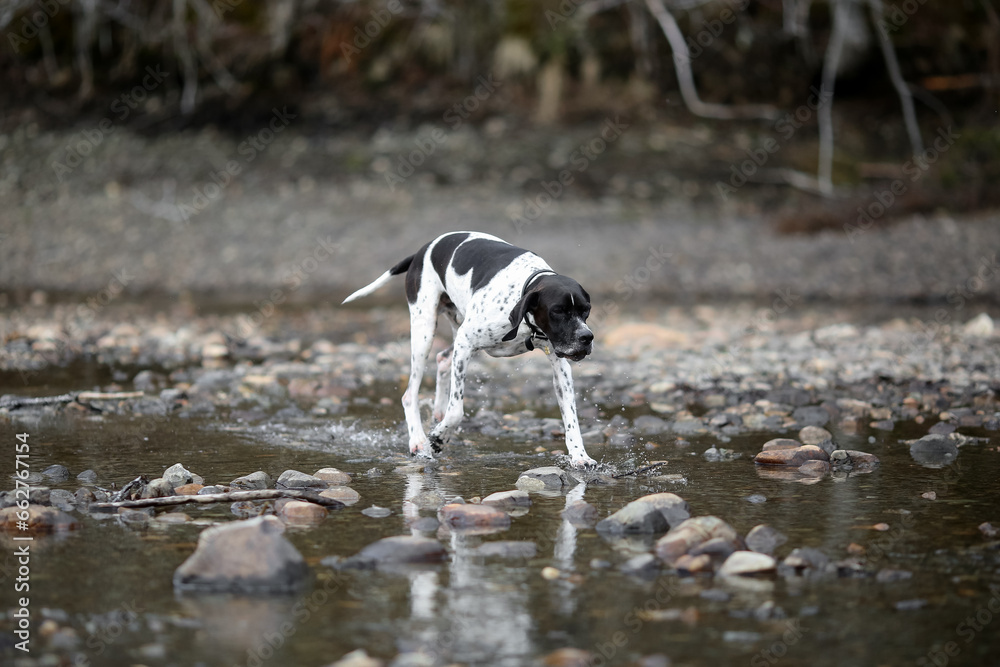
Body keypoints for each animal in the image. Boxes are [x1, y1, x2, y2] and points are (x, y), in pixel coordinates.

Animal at [340, 232, 596, 468]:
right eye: (558, 311)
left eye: (586, 310)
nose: (587, 337)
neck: (523, 289)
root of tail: (422, 251)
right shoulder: (466, 343)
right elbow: (456, 411)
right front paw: (438, 439)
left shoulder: (560, 366)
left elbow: (571, 416)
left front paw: (580, 456)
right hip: (425, 331)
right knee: (410, 394)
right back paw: (419, 441)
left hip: (455, 329)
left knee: (443, 359)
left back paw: (437, 413)